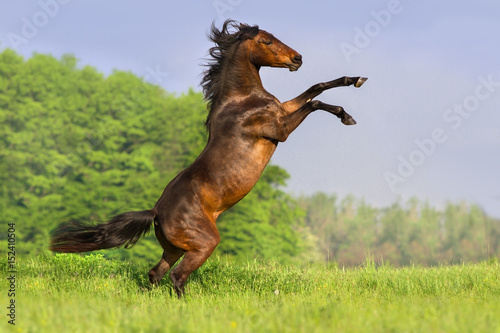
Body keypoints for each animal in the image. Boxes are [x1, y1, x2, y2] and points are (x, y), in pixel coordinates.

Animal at [50, 19, 368, 296]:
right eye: (266, 41)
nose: (297, 58)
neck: (242, 101)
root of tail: (156, 211)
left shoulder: (282, 110)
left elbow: (315, 88)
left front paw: (355, 81)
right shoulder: (280, 128)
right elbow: (314, 102)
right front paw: (347, 116)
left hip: (176, 248)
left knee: (156, 274)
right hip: (204, 244)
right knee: (177, 277)